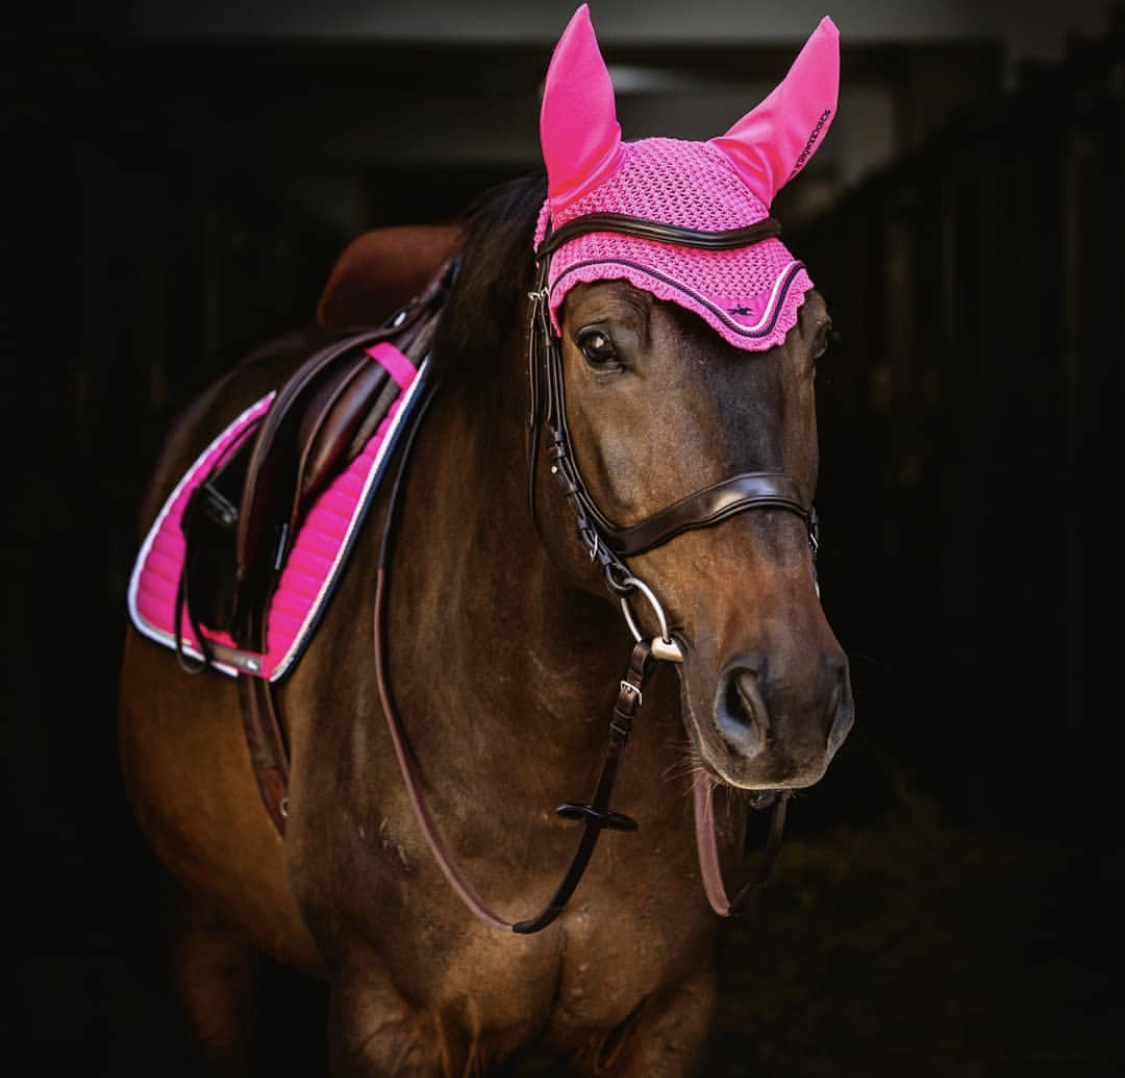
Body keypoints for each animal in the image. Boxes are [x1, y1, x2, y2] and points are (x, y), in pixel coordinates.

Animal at [116, 10, 850, 1078]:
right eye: (596, 343)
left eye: (819, 343)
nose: (791, 699)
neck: (547, 742)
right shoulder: (387, 1020)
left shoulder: (666, 1015)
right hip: (198, 921)